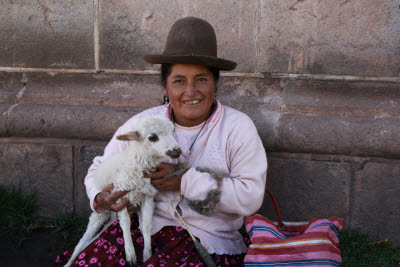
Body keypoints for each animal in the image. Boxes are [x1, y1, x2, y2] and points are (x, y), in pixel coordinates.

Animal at [65, 115, 181, 267]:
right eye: (153, 137)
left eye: (173, 131)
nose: (177, 150)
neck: (137, 165)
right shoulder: (119, 194)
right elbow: (126, 223)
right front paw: (130, 255)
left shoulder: (147, 197)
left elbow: (146, 225)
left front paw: (147, 255)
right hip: (100, 212)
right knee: (83, 240)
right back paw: (70, 261)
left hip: (111, 216)